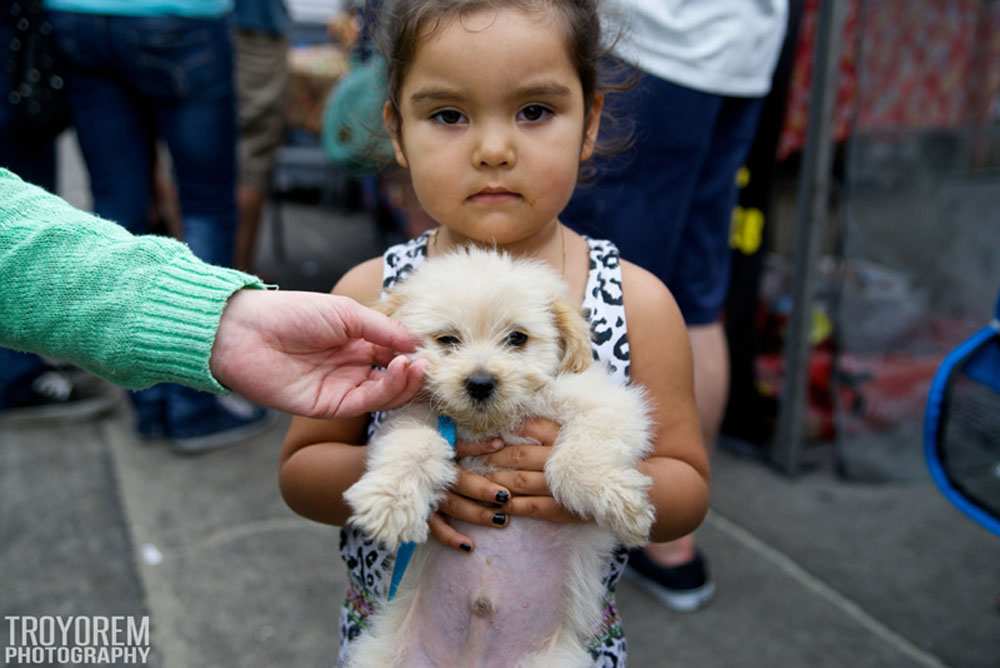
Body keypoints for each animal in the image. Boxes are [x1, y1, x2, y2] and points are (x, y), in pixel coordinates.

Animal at [344, 248, 656, 664]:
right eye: (447, 339)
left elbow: (574, 459)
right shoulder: (415, 418)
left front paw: (622, 506)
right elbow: (414, 448)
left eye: (517, 338)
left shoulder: (608, 403)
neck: (489, 424)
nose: (480, 383)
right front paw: (390, 504)